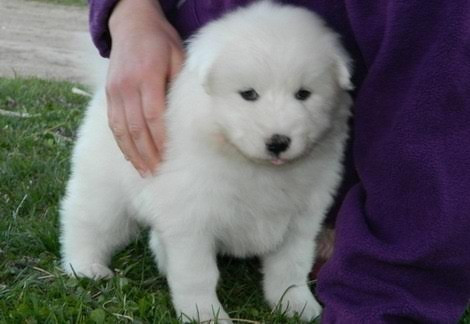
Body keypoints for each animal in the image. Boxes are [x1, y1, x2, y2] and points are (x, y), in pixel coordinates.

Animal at [59, 1, 352, 322]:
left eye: (303, 94)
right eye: (249, 94)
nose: (278, 143)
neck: (250, 165)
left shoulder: (301, 221)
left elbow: (290, 269)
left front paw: (298, 305)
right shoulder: (192, 221)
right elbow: (197, 276)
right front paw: (206, 314)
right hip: (105, 190)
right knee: (86, 223)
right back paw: (85, 266)